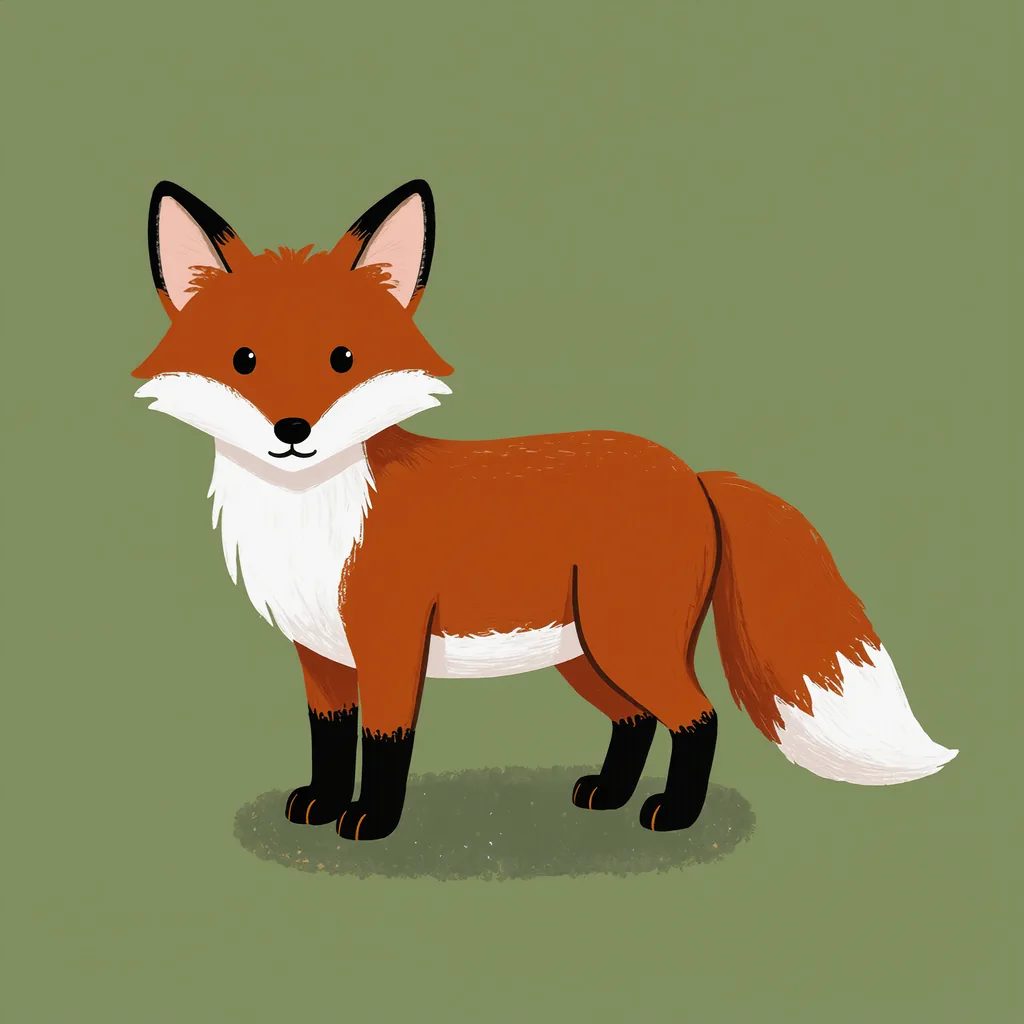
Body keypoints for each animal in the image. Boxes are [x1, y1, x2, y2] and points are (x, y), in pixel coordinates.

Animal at [132, 178, 958, 841]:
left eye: (342, 360)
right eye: (244, 360)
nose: (292, 431)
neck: (311, 518)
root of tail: (691, 471)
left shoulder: (390, 641)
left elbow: (388, 740)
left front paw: (371, 820)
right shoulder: (321, 654)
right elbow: (330, 741)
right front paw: (321, 803)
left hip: (625, 641)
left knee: (698, 717)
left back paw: (674, 814)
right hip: (585, 653)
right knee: (636, 719)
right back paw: (610, 794)